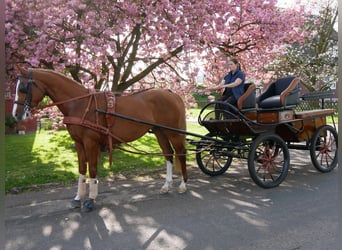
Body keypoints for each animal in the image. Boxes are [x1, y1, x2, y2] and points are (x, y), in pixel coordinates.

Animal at [13, 65, 188, 212]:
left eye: (23, 88)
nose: (16, 114)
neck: (80, 103)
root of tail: (172, 93)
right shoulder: (79, 143)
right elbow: (82, 170)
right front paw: (78, 198)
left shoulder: (90, 142)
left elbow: (92, 169)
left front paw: (90, 200)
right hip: (160, 132)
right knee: (168, 154)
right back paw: (166, 185)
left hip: (173, 133)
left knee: (181, 153)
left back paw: (183, 184)